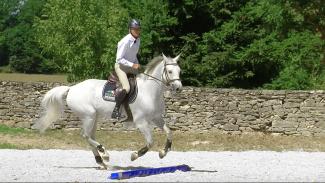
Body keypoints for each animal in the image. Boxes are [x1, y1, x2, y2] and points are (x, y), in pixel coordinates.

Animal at [34, 53, 185, 169]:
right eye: (170, 71)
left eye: (179, 71)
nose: (178, 88)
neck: (150, 92)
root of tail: (71, 88)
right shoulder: (141, 122)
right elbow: (150, 142)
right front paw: (134, 155)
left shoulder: (156, 118)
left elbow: (169, 132)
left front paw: (163, 152)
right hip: (88, 116)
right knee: (85, 135)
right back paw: (104, 153)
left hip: (95, 117)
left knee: (90, 137)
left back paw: (101, 161)